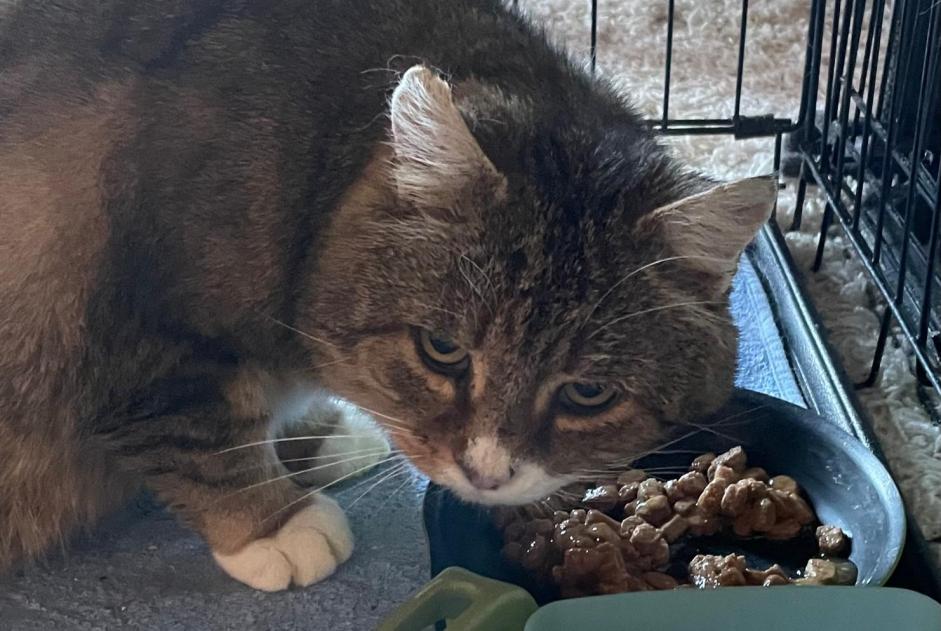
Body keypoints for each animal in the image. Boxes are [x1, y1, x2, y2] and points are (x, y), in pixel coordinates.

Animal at [0, 0, 776, 592]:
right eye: (442, 350)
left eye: (588, 393)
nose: (485, 472)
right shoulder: (141, 339)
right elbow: (205, 437)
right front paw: (273, 523)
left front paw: (321, 437)